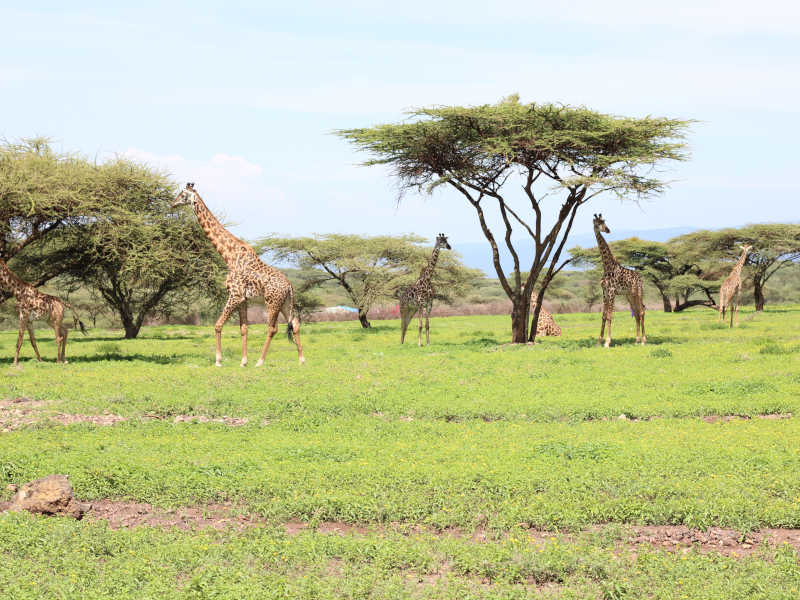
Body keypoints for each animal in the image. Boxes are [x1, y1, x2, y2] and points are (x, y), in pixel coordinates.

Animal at [171, 183, 304, 368]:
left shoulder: (234, 294)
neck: (229, 256)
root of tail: (290, 286)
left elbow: (218, 325)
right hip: (285, 303)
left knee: (272, 328)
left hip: (271, 302)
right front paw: (243, 361)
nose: (173, 204)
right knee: (295, 323)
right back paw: (301, 360)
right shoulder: (243, 299)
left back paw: (260, 361)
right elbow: (243, 328)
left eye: (182, 195)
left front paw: (219, 361)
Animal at [592, 214, 648, 346]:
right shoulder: (605, 292)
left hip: (638, 292)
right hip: (630, 295)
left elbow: (609, 316)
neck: (607, 266)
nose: (607, 230)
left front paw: (607, 342)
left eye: (604, 222)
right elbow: (603, 316)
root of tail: (640, 277)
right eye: (597, 223)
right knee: (636, 313)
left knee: (642, 311)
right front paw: (599, 342)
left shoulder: (612, 292)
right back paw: (636, 340)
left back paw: (644, 340)